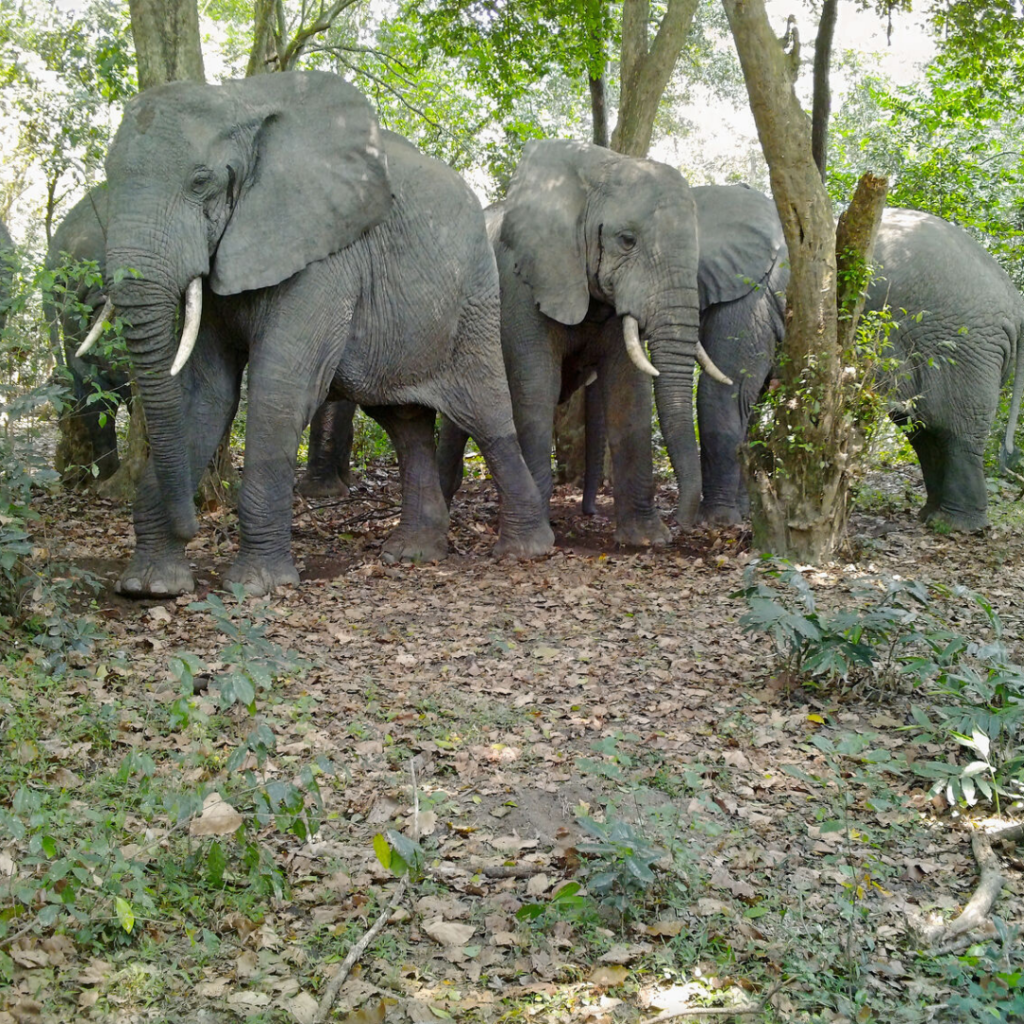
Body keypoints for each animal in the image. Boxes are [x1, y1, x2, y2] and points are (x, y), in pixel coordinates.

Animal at [93, 70, 552, 597]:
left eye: (200, 182)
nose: (192, 526)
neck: (239, 100)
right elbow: (206, 390)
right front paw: (150, 586)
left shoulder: (325, 257)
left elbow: (280, 388)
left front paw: (256, 587)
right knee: (405, 423)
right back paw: (413, 554)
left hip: (475, 303)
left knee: (488, 416)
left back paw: (526, 550)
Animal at [437, 139, 732, 544]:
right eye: (627, 240)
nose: (684, 524)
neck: (595, 172)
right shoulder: (523, 281)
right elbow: (535, 390)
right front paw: (539, 536)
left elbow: (629, 394)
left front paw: (646, 539)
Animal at [688, 187, 1024, 531]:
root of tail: (1016, 304)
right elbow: (748, 400)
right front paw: (744, 513)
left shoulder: (752, 298)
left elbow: (727, 392)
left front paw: (717, 521)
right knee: (923, 429)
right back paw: (930, 516)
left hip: (967, 347)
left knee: (954, 431)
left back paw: (953, 525)